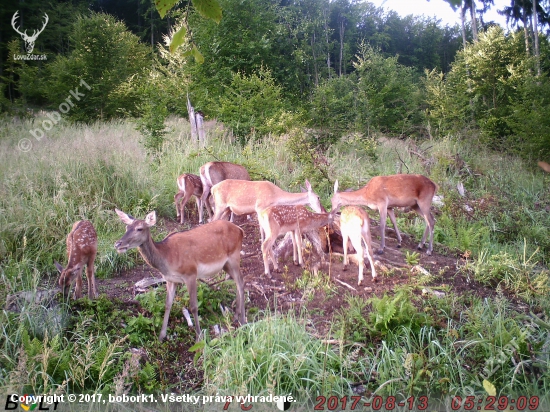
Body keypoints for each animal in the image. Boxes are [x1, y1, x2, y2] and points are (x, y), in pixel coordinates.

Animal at [114, 209, 246, 342]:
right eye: (127, 227)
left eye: (139, 228)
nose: (117, 244)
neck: (166, 258)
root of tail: (240, 230)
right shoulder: (170, 279)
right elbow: (167, 304)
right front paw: (161, 336)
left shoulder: (190, 273)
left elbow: (193, 306)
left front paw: (199, 337)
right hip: (225, 264)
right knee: (237, 281)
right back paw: (236, 316)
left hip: (234, 256)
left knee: (241, 283)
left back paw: (243, 321)